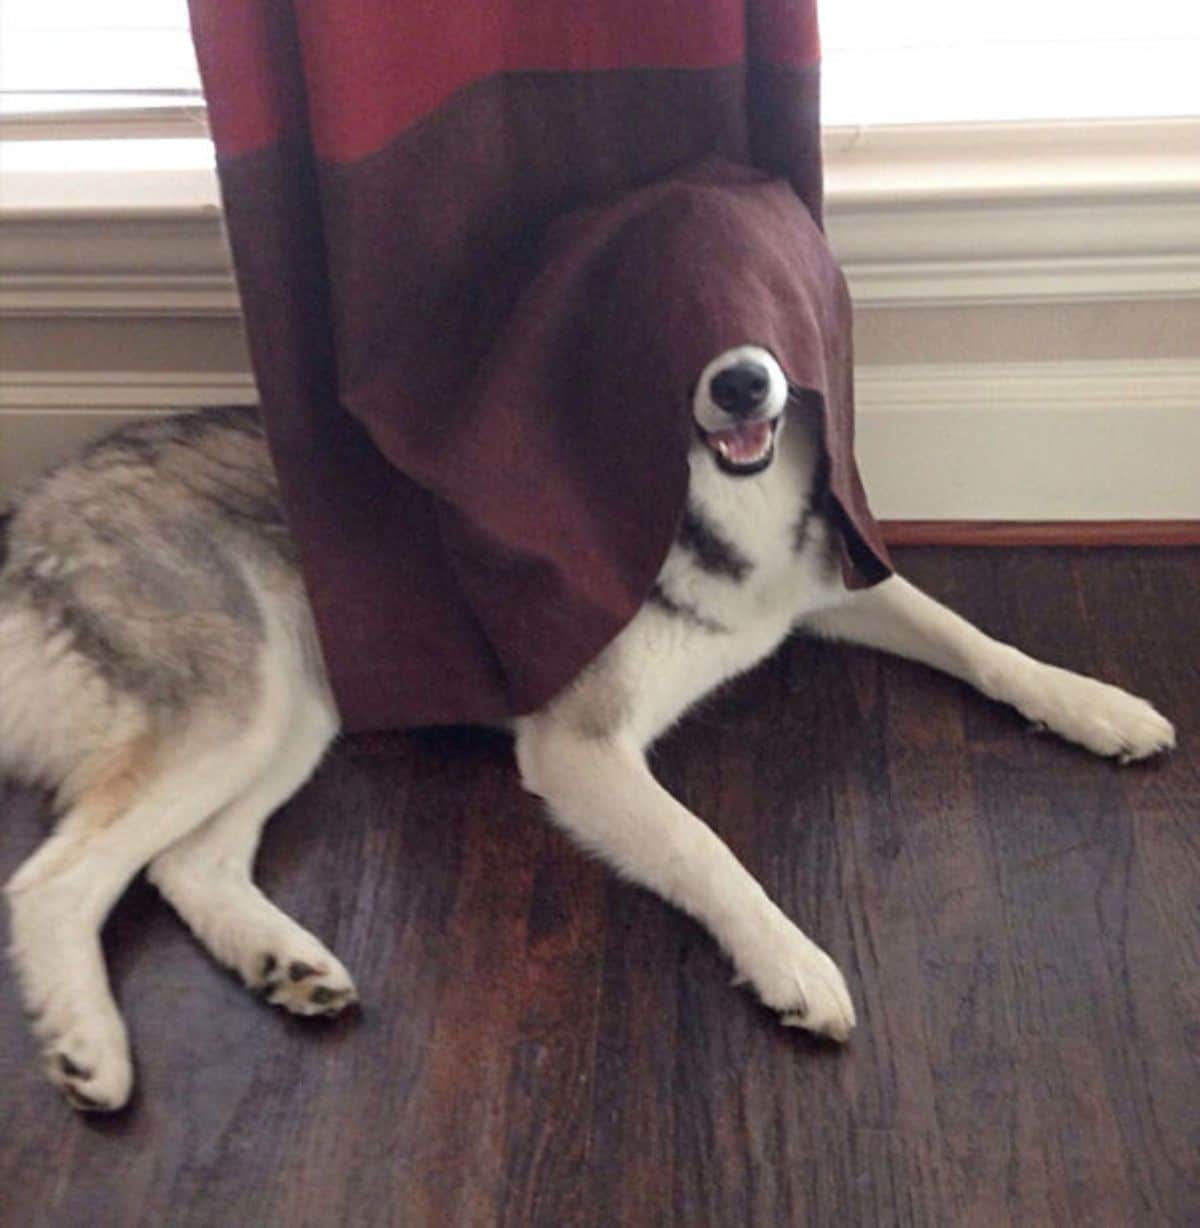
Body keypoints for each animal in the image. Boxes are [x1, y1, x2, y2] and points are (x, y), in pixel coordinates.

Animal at [0, 346, 1174, 1115]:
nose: (743, 382)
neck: (720, 515)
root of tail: (35, 506)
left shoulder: (831, 593)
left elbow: (979, 640)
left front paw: (1096, 703)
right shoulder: (580, 748)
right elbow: (707, 847)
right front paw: (787, 958)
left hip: (298, 708)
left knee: (185, 862)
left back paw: (282, 962)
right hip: (240, 706)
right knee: (53, 879)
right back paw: (88, 1045)